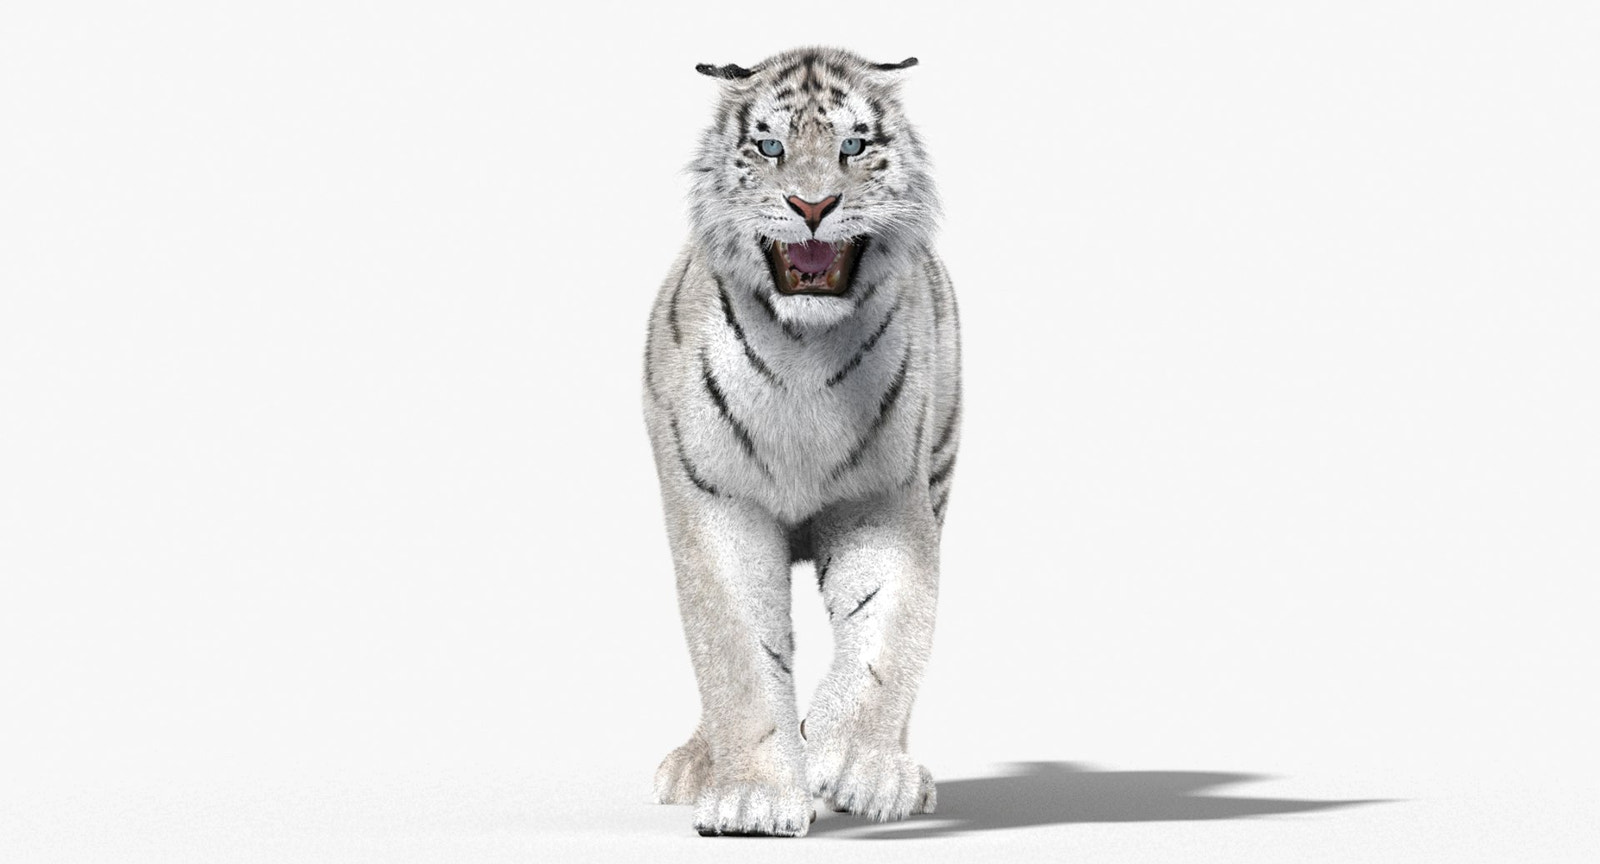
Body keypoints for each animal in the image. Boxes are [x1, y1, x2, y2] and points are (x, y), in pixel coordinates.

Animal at [641, 46, 961, 837]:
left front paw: (859, 768)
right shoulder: (716, 504)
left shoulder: (887, 501)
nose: (812, 207)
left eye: (853, 145)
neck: (802, 354)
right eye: (769, 147)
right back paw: (696, 764)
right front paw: (754, 797)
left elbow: (885, 641)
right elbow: (739, 656)